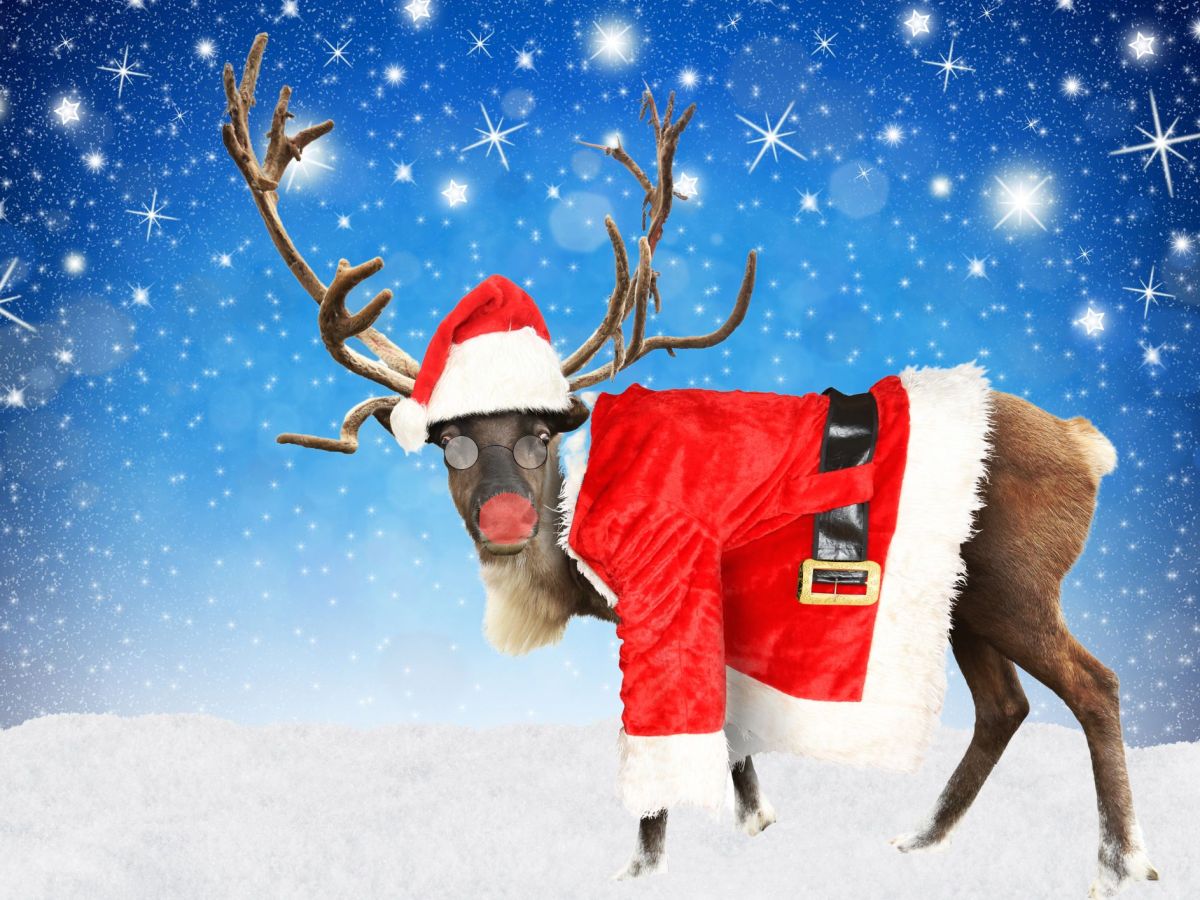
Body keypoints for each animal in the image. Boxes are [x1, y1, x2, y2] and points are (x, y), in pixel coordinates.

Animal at [221, 34, 1158, 899]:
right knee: (1006, 706)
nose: (505, 519)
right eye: (449, 441)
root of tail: (1088, 442)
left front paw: (643, 865)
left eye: (540, 435)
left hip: (1016, 585)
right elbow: (731, 743)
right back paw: (922, 838)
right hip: (961, 601)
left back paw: (1122, 860)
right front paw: (757, 822)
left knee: (1097, 684)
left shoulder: (662, 603)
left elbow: (660, 760)